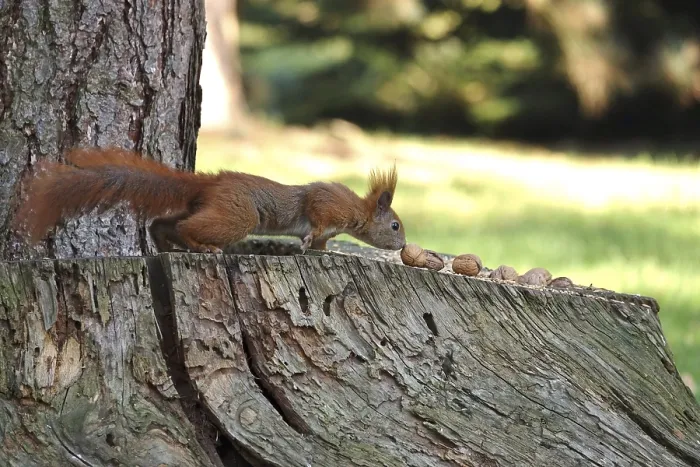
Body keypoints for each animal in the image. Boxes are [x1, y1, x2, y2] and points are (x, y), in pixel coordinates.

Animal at [14, 147, 406, 254]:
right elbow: (317, 214)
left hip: (209, 207)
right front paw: (311, 239)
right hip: (238, 214)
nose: (403, 246)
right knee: (188, 227)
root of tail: (210, 183)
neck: (358, 211)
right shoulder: (328, 202)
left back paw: (164, 243)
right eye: (395, 225)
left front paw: (320, 249)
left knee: (164, 223)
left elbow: (324, 241)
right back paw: (200, 247)